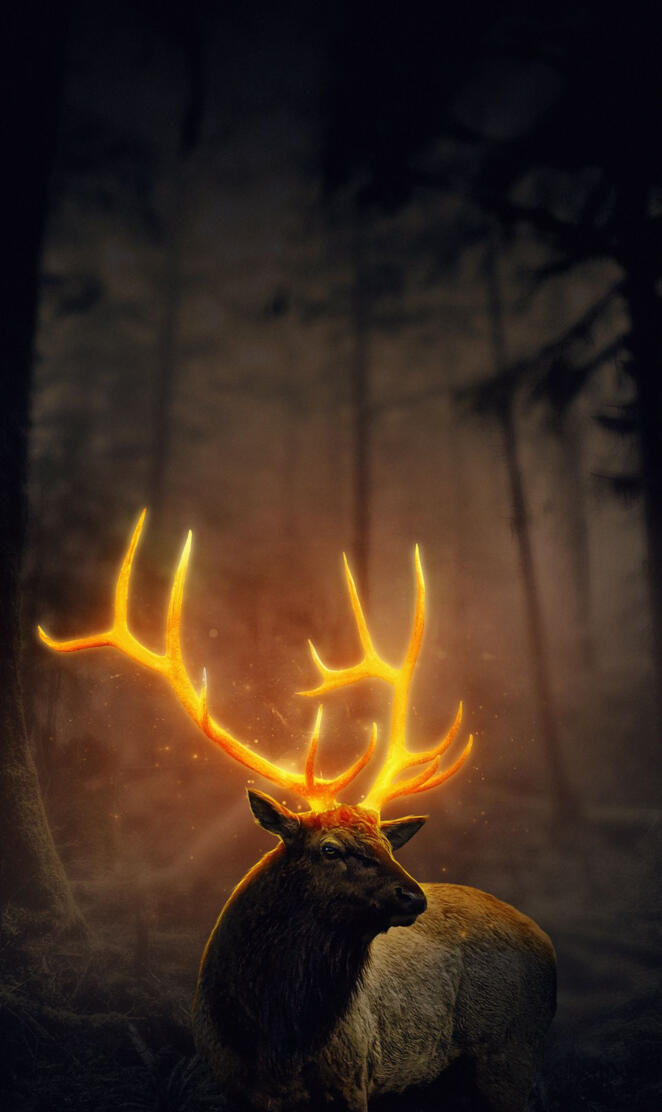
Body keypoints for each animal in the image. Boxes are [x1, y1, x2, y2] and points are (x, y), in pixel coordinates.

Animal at [39, 510, 556, 1112]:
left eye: (388, 843)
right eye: (329, 848)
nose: (414, 895)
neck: (274, 1042)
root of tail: (548, 947)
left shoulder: (354, 1078)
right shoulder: (232, 1082)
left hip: (510, 1054)